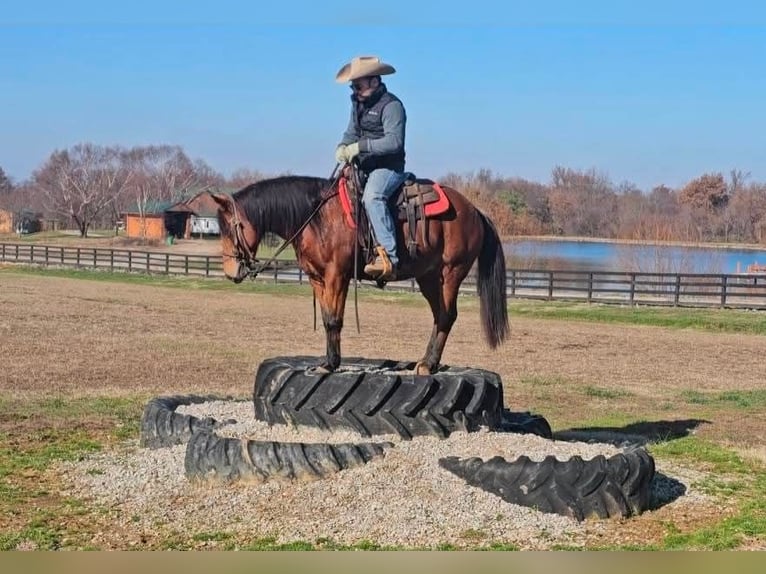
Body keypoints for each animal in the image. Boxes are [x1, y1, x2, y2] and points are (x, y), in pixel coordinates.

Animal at [210, 169, 509, 375]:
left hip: (450, 273)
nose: (231, 271)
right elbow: (328, 318)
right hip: (428, 277)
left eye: (231, 227)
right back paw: (425, 361)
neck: (316, 216)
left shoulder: (337, 275)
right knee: (439, 315)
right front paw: (327, 361)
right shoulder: (317, 278)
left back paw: (429, 365)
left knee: (447, 316)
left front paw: (331, 364)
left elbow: (334, 320)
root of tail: (475, 211)